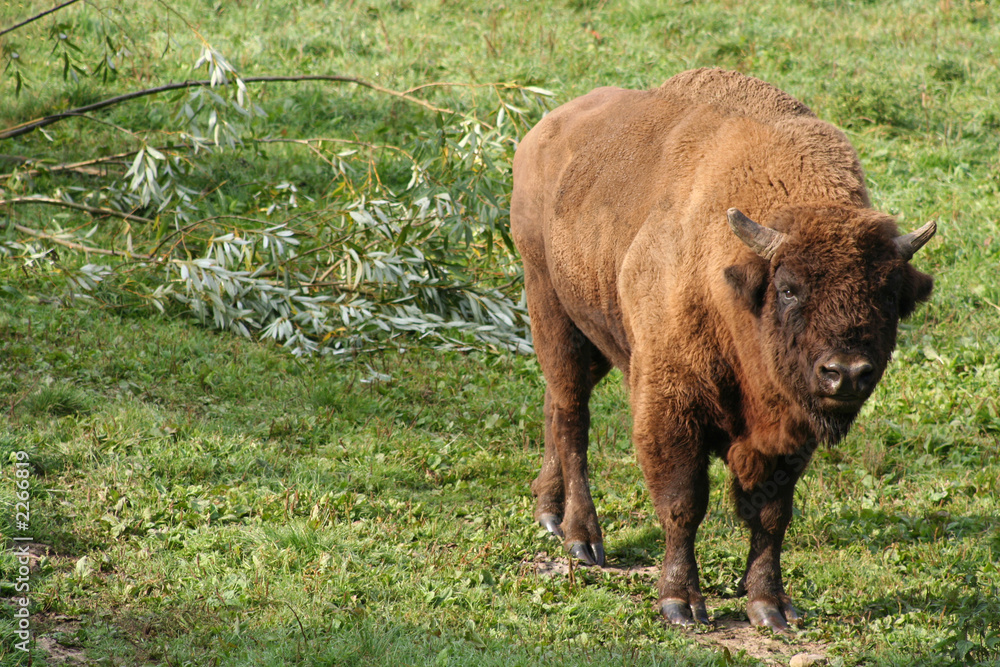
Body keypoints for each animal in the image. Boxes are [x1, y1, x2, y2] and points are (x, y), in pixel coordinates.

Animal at [512, 69, 932, 632]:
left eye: (887, 293)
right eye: (789, 288)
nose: (845, 373)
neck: (734, 282)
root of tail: (541, 133)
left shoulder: (786, 433)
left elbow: (771, 514)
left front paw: (770, 606)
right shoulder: (670, 404)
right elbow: (683, 503)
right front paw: (680, 602)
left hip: (598, 334)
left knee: (553, 407)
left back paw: (548, 508)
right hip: (552, 312)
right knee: (571, 417)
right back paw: (582, 538)